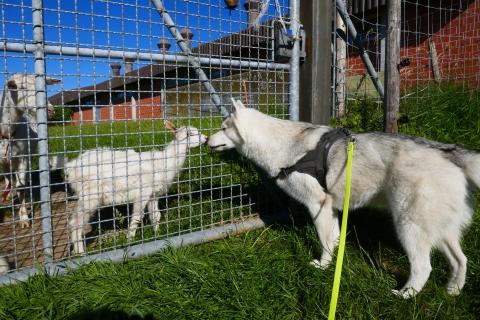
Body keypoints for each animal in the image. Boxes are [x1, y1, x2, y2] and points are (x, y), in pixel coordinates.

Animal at [0, 74, 60, 228]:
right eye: (21, 88)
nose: (50, 110)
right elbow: (9, 179)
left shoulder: (23, 157)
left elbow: (20, 186)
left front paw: (24, 218)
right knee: (8, 177)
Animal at [207, 99, 480, 298]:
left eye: (223, 128)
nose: (206, 140)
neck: (283, 145)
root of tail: (450, 152)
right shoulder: (332, 210)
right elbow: (335, 240)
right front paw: (333, 265)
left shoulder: (318, 206)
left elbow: (325, 242)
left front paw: (322, 265)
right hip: (441, 234)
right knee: (461, 261)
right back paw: (452, 291)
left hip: (409, 228)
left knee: (424, 268)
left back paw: (405, 295)